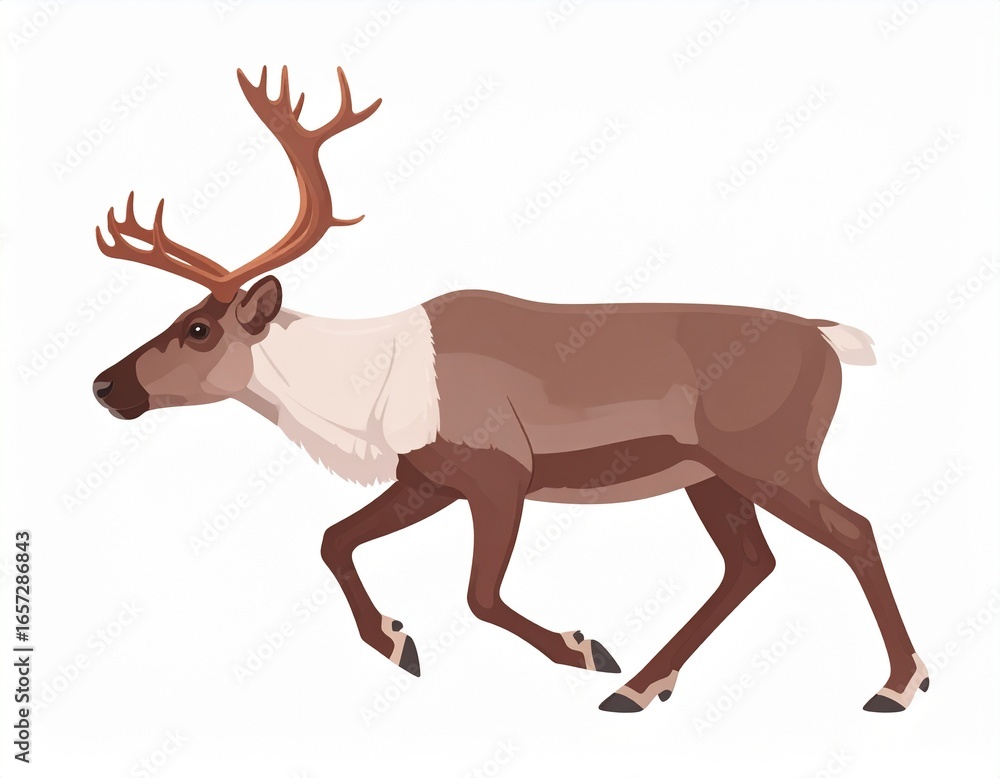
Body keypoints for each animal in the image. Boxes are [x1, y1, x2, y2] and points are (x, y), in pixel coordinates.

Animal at [92, 64, 927, 714]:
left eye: (200, 328)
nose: (104, 385)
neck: (365, 395)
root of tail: (829, 338)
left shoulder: (499, 473)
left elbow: (479, 595)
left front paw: (582, 646)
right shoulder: (427, 477)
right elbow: (333, 539)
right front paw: (396, 643)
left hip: (768, 456)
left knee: (854, 531)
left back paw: (895, 685)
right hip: (709, 473)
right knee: (750, 563)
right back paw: (642, 687)